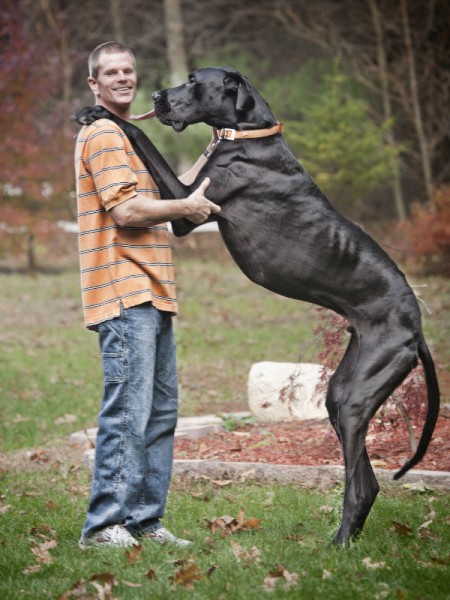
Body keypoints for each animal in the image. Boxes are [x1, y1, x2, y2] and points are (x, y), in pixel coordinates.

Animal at [74, 65, 440, 544]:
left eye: (195, 81)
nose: (155, 96)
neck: (247, 133)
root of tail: (416, 325)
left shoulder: (188, 203)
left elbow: (138, 133)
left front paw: (100, 112)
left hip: (359, 394)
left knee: (360, 483)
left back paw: (340, 543)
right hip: (344, 390)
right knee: (367, 478)